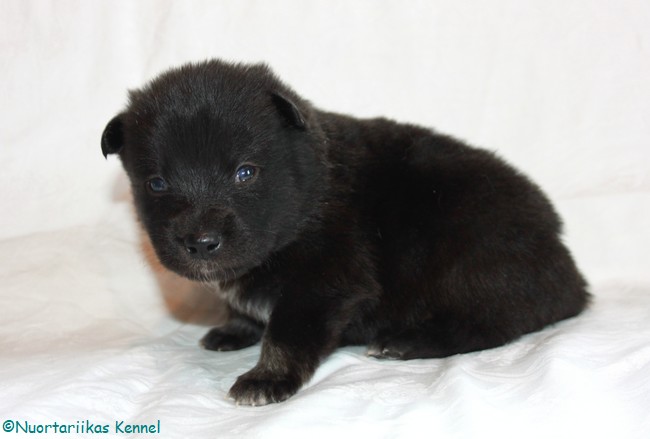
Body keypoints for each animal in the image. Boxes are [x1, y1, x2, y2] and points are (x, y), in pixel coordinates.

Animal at [101, 60, 589, 405]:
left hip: (471, 255)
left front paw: (267, 377)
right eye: (156, 183)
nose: (200, 243)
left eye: (245, 172)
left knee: (489, 324)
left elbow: (288, 333)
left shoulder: (325, 283)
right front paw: (235, 329)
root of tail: (567, 272)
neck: (308, 190)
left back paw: (405, 342)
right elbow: (246, 310)